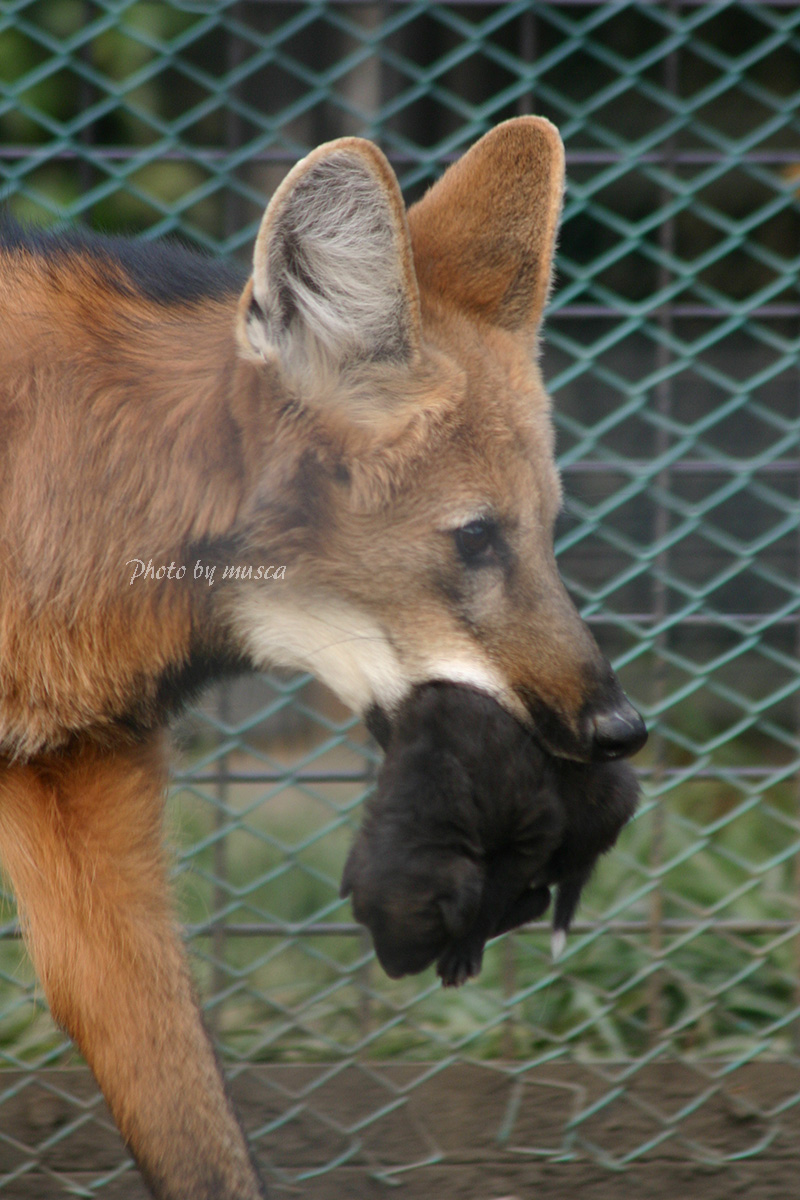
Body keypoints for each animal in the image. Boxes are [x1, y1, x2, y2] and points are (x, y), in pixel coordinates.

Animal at [340, 681, 642, 988]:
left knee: (547, 887)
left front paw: (462, 953)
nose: (394, 973)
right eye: (364, 921)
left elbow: (492, 898)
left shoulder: (533, 831)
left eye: (429, 930)